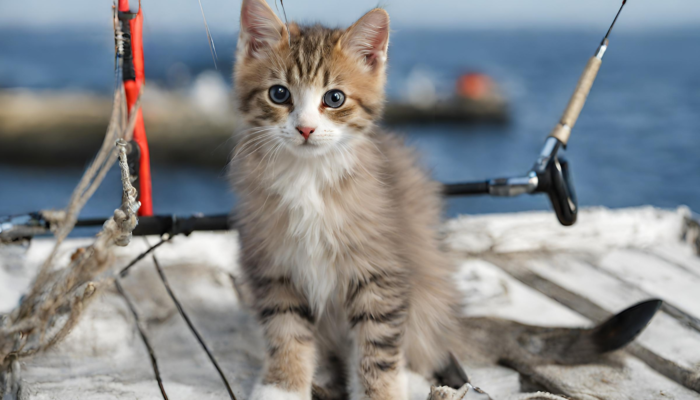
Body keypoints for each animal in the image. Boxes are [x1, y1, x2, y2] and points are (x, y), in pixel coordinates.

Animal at [231, 1, 464, 398]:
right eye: (279, 94)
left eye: (334, 98)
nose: (305, 128)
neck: (308, 177)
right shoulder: (274, 266)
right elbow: (286, 332)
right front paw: (284, 385)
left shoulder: (381, 270)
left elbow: (377, 345)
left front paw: (381, 392)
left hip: (432, 295)